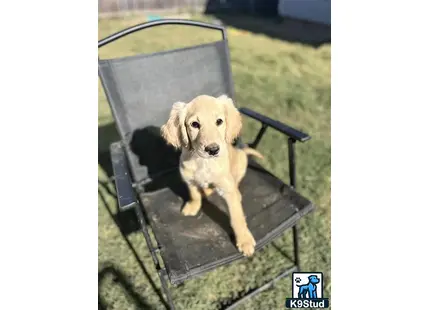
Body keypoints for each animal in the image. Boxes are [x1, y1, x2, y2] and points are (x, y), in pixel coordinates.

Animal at [160, 94, 262, 256]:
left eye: (219, 121)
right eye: (195, 124)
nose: (213, 150)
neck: (204, 162)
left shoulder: (226, 187)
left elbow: (237, 217)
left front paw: (244, 240)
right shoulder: (188, 178)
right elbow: (194, 194)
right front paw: (193, 206)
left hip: (241, 163)